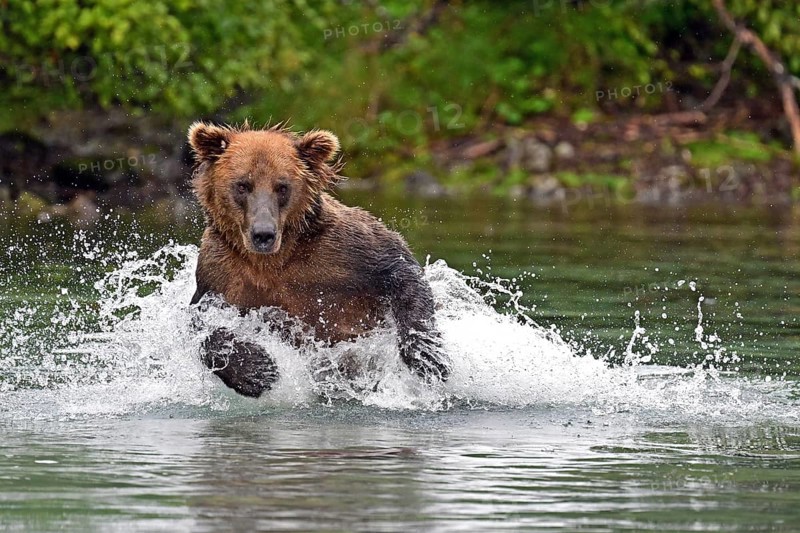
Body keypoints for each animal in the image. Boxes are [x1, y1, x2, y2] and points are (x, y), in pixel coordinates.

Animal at [187, 121, 450, 397]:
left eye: (282, 186)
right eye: (242, 185)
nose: (263, 234)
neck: (273, 260)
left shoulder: (341, 250)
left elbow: (398, 268)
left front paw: (427, 357)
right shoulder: (221, 271)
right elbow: (202, 323)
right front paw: (258, 369)